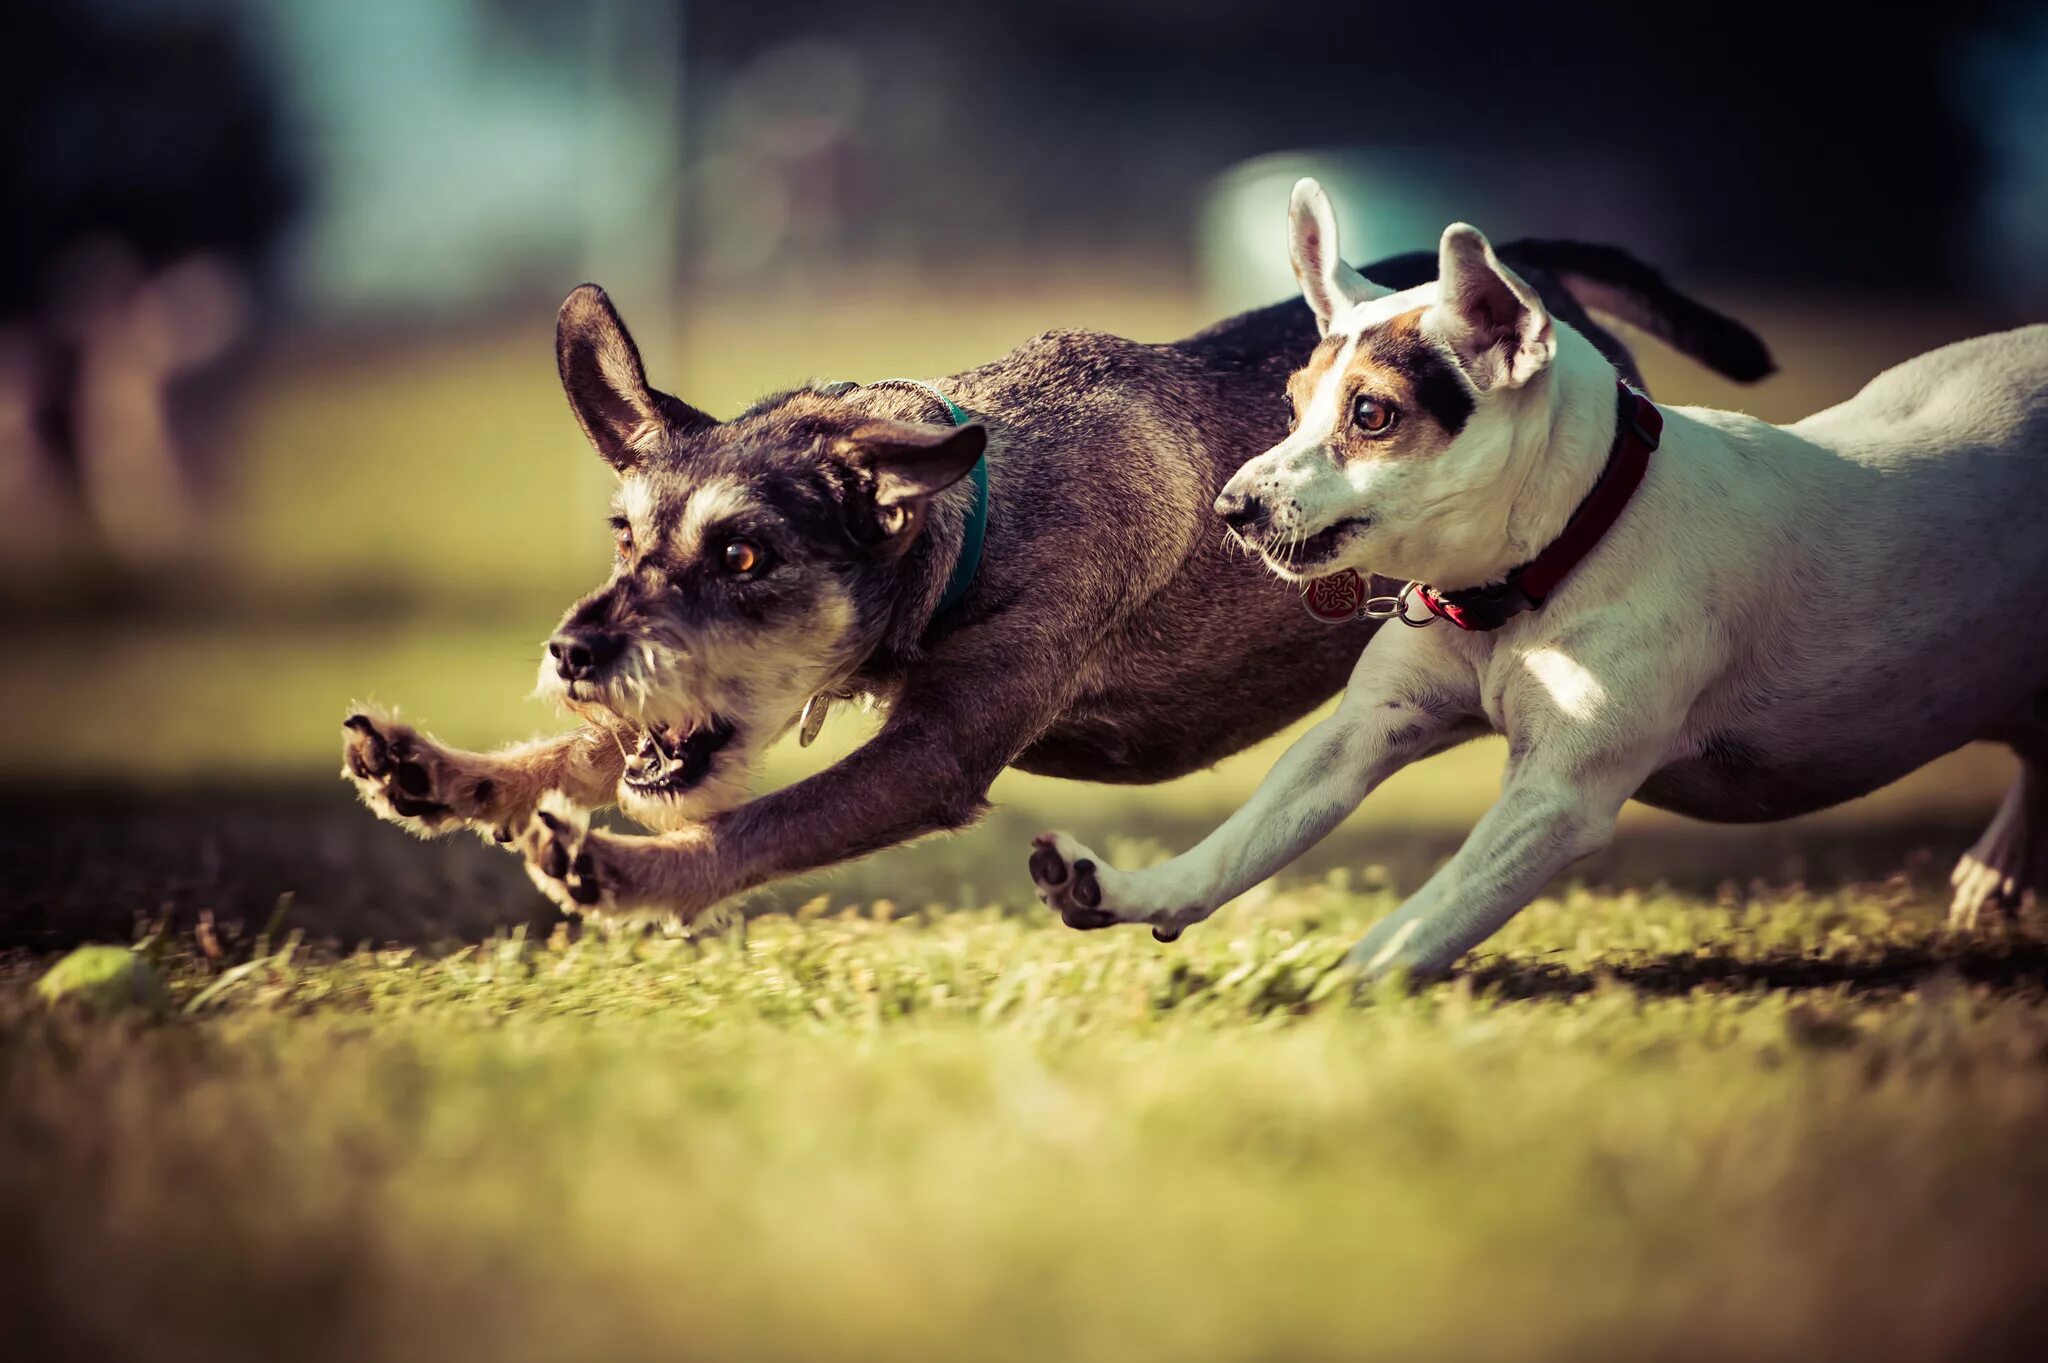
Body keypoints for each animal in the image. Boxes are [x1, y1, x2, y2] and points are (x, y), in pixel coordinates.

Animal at [344, 238, 1769, 916]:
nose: (572, 651)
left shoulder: (934, 754)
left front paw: (625, 871)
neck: (971, 516)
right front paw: (447, 772)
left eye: (744, 552)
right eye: (623, 538)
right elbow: (597, 755)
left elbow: (744, 825)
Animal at [1032, 174, 2048, 970]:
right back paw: (1998, 871)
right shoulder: (1364, 731)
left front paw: (1330, 990)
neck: (1559, 556)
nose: (1230, 507)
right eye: (1291, 403)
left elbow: (1413, 928)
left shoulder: (1555, 800)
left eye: (1371, 413)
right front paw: (1127, 889)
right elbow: (1237, 847)